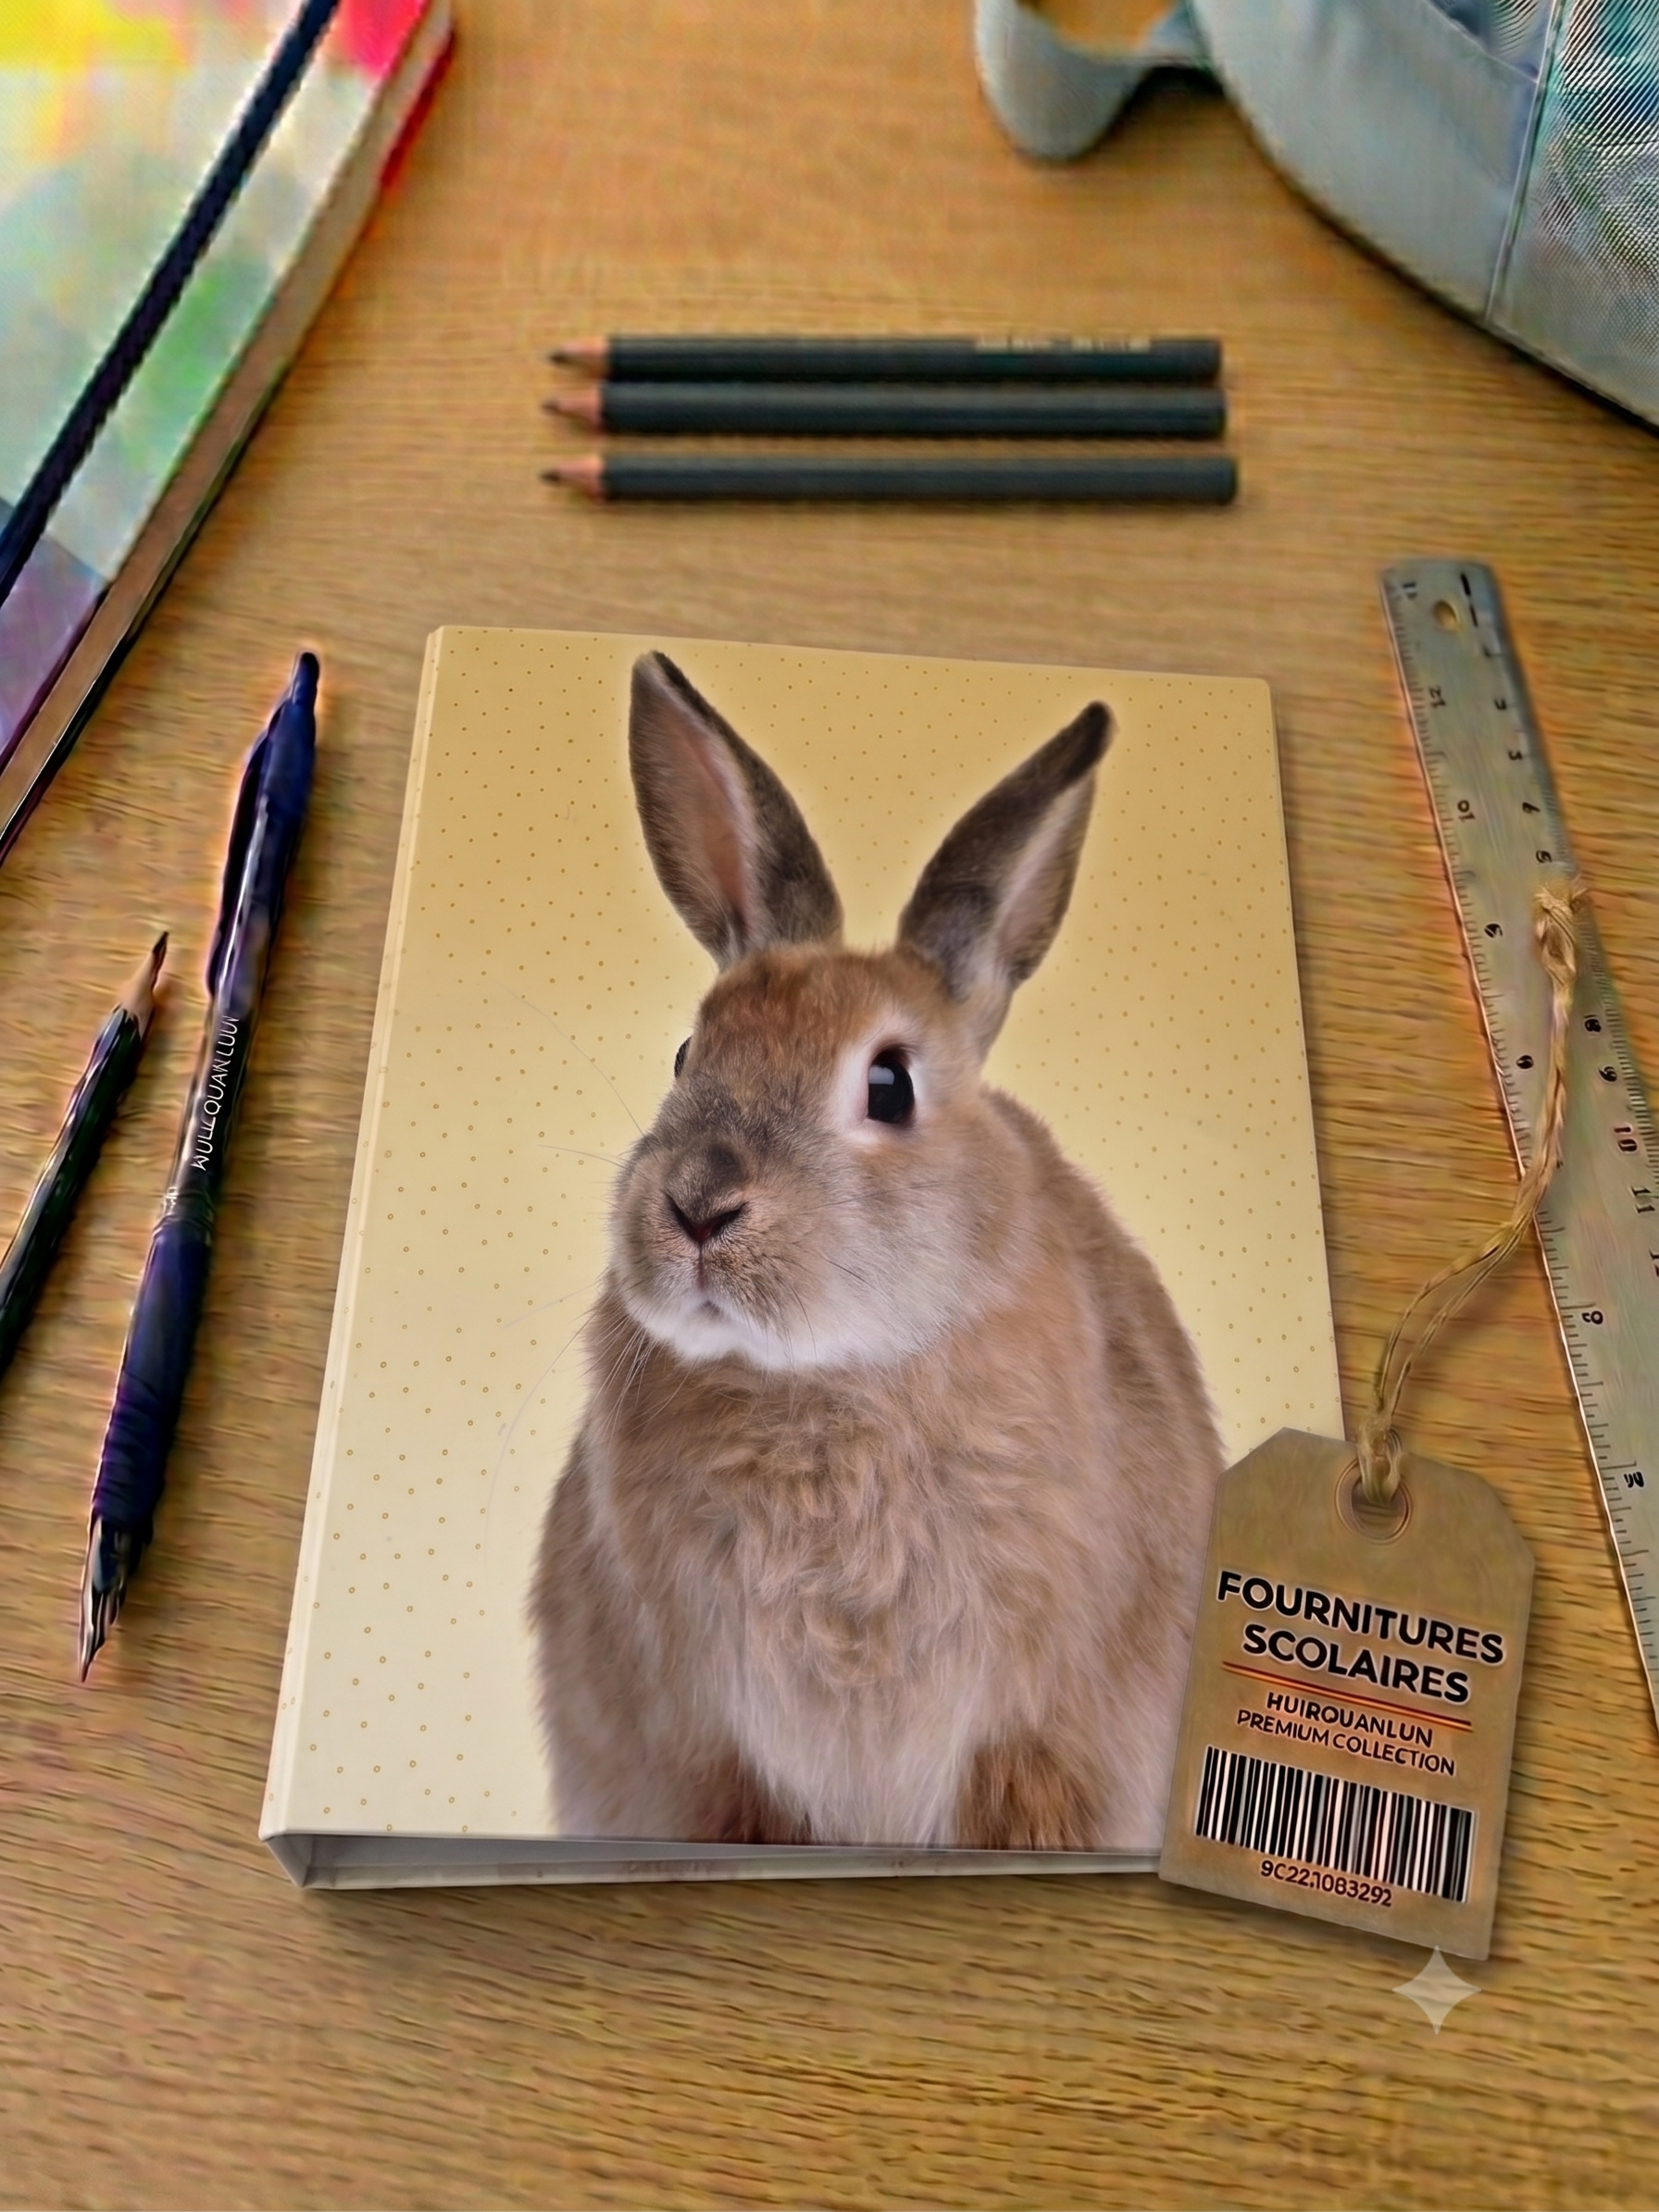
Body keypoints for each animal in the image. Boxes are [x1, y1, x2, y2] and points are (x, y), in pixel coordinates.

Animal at [530, 651, 1224, 1851]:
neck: (825, 1382)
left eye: (889, 1083)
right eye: (686, 1053)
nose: (698, 1207)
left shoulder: (1034, 1747)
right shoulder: (715, 1755)